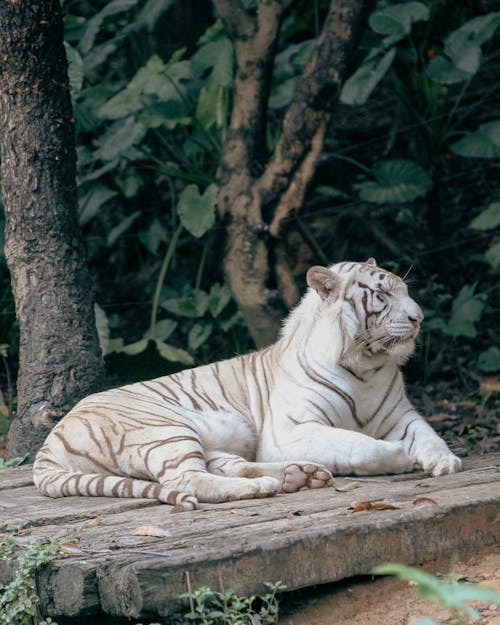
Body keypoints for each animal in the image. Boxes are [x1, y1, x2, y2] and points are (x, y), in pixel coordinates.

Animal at [32, 260, 460, 510]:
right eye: (383, 295)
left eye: (405, 290)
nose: (419, 317)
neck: (367, 366)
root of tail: (50, 441)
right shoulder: (289, 430)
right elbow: (356, 444)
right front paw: (400, 456)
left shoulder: (401, 414)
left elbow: (428, 434)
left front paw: (444, 461)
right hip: (164, 430)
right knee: (186, 478)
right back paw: (260, 488)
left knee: (226, 465)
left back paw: (298, 475)